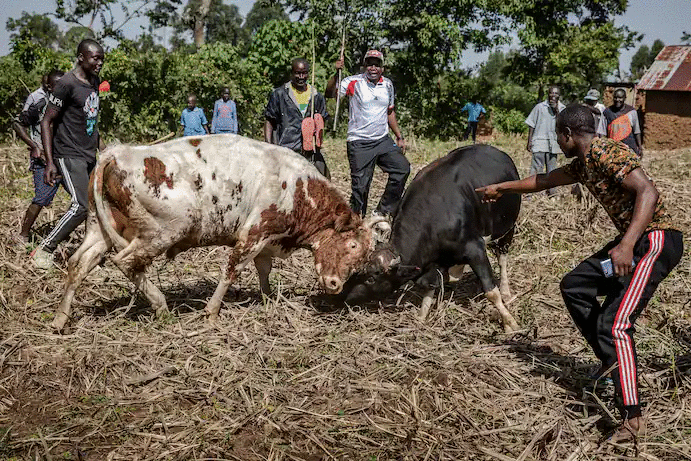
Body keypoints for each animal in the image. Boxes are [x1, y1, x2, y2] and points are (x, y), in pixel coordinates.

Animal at [52, 134, 382, 330]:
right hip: (165, 229)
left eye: (363, 257)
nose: (335, 285)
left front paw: (267, 299)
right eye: (352, 245)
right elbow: (232, 270)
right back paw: (161, 306)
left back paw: (60, 318)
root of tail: (121, 152)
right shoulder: (253, 233)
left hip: (100, 228)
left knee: (78, 264)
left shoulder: (267, 239)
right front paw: (211, 312)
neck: (298, 188)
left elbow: (264, 271)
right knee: (126, 262)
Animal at [338, 144, 520, 330]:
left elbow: (491, 292)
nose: (341, 297)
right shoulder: (435, 262)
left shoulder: (475, 249)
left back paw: (506, 291)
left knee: (502, 259)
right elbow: (430, 287)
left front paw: (510, 324)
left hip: (508, 230)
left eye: (371, 278)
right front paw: (421, 318)